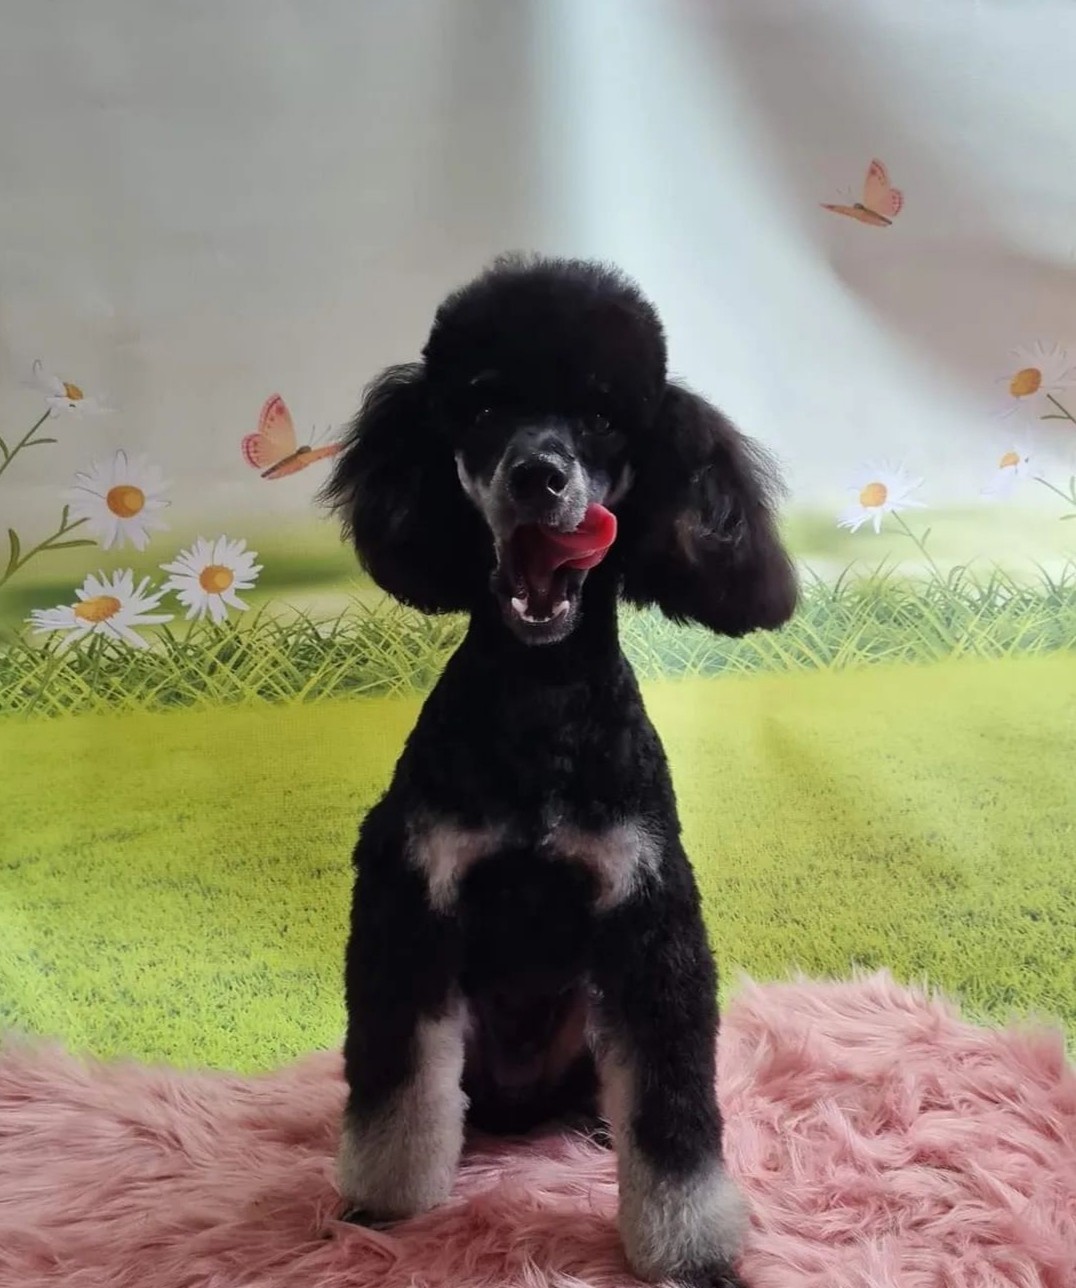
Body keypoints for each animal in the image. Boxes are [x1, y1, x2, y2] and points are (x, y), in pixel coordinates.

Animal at [322, 255, 797, 1288]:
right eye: (482, 406)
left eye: (604, 418)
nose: (537, 475)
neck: (541, 702)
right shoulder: (411, 901)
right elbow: (397, 1087)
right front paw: (384, 1205)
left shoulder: (647, 918)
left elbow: (671, 1110)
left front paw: (689, 1249)